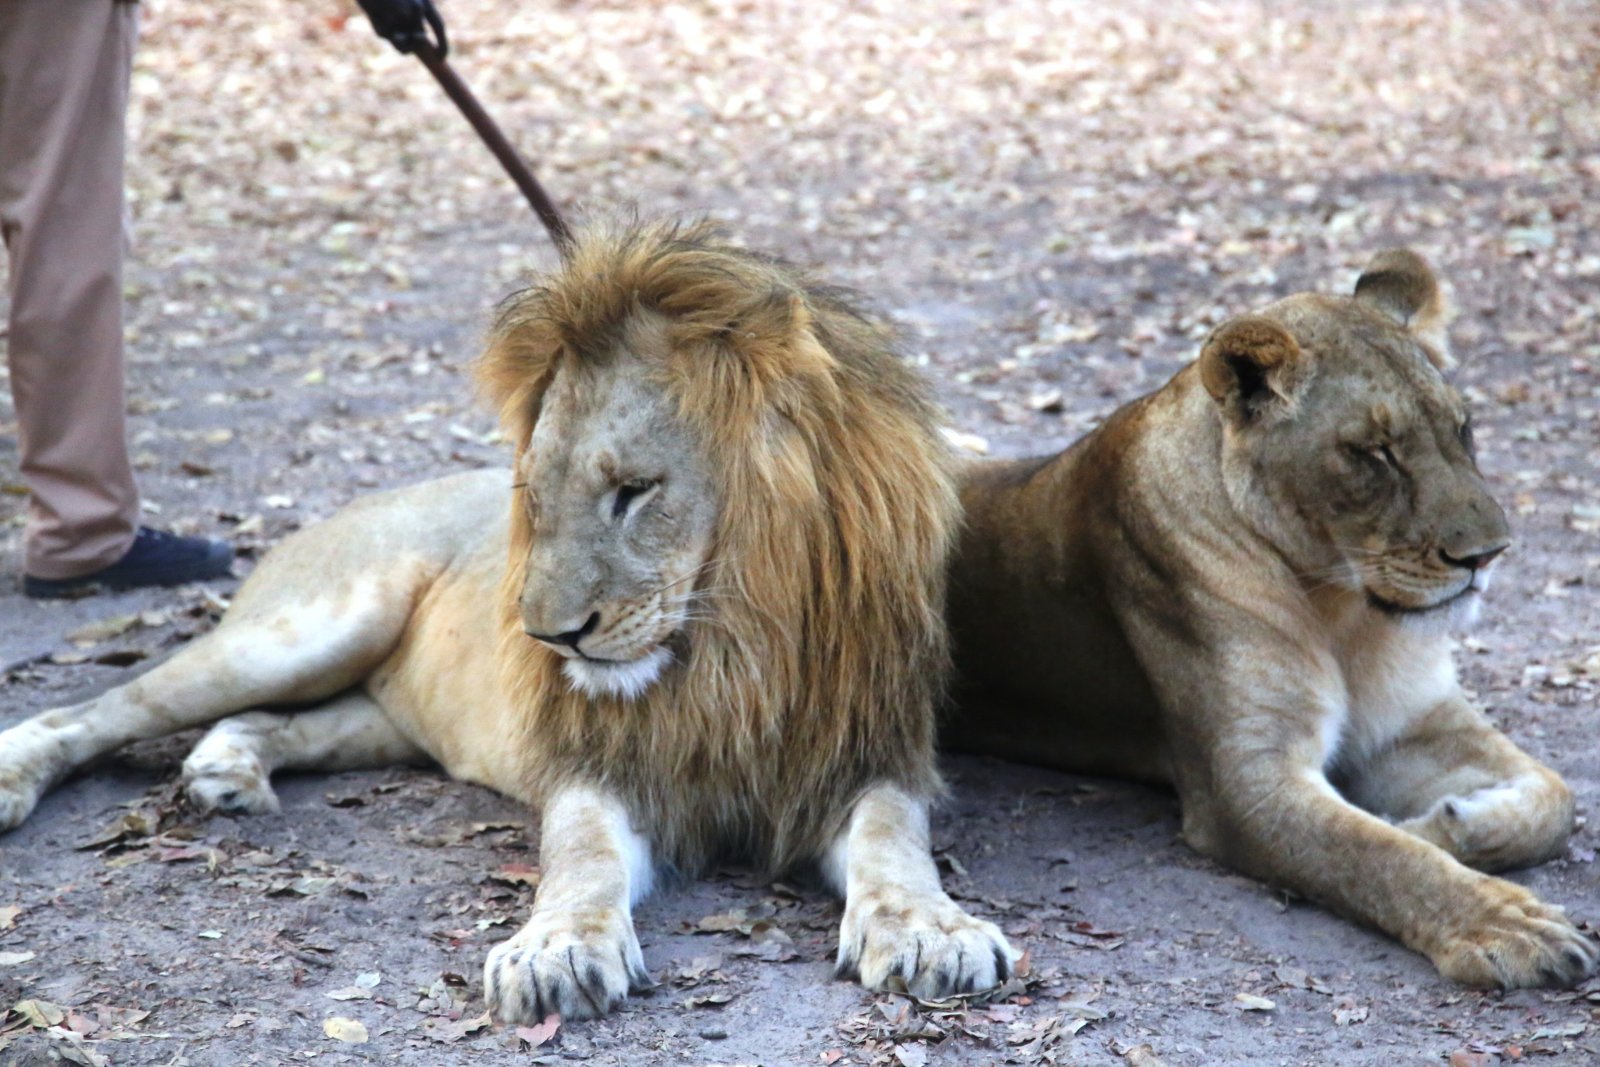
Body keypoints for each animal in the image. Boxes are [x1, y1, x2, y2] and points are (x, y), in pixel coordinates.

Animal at [0, 220, 1015, 1022]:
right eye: (533, 492)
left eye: (633, 490)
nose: (546, 637)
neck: (735, 646)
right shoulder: (599, 765)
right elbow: (583, 857)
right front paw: (558, 949)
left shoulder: (866, 755)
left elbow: (894, 841)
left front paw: (933, 931)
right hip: (309, 629)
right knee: (103, 707)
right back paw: (21, 775)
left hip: (383, 714)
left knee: (281, 723)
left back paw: (229, 770)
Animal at [944, 250, 1597, 988]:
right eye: (1375, 451)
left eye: (1462, 428)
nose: (1488, 554)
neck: (1347, 613)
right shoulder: (1247, 785)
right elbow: (1379, 856)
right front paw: (1504, 923)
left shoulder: (1417, 719)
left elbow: (1559, 799)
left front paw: (1445, 823)